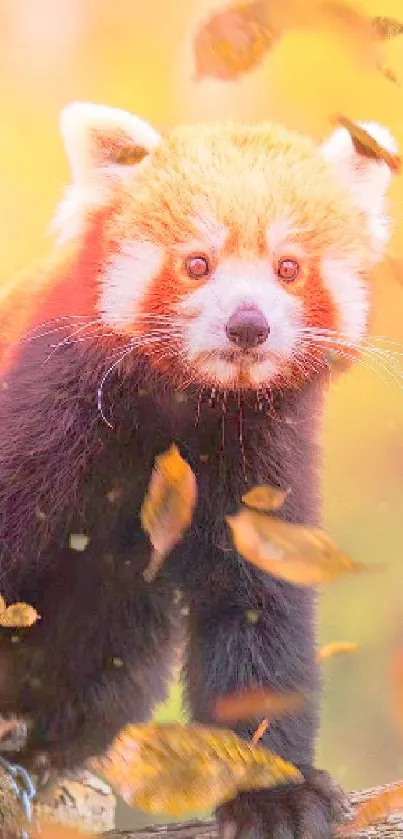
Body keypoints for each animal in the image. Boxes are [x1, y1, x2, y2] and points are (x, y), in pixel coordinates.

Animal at [0, 103, 398, 839]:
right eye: (196, 263)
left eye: (288, 267)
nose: (248, 324)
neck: (184, 401)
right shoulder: (39, 409)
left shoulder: (260, 458)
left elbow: (258, 607)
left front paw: (274, 789)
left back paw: (41, 750)